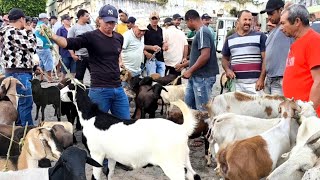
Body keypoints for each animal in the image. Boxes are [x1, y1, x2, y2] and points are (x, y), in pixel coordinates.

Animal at [60, 80, 200, 180]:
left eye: (66, 89)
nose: (59, 94)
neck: (90, 116)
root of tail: (182, 128)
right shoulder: (111, 156)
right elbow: (109, 173)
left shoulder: (96, 154)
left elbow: (95, 177)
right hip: (184, 159)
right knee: (194, 175)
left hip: (172, 164)